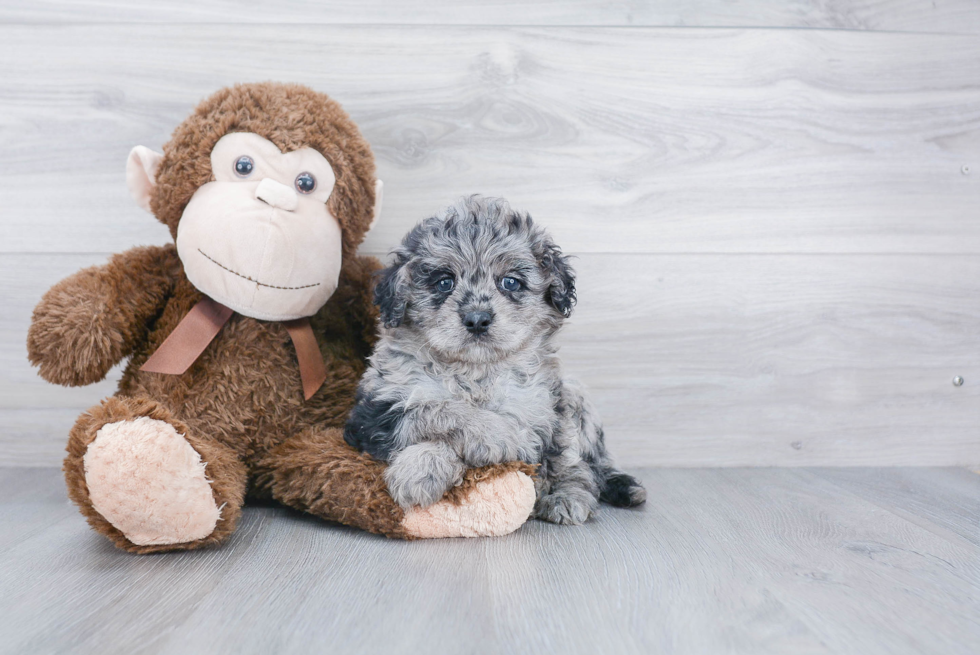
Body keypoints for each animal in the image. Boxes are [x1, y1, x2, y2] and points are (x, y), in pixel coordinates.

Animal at [344, 195, 644, 524]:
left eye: (510, 283)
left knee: (588, 462)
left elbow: (548, 446)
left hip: (575, 395)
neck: (475, 372)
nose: (477, 319)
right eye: (444, 282)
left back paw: (595, 492)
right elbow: (437, 409)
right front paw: (422, 469)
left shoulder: (538, 404)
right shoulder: (376, 412)